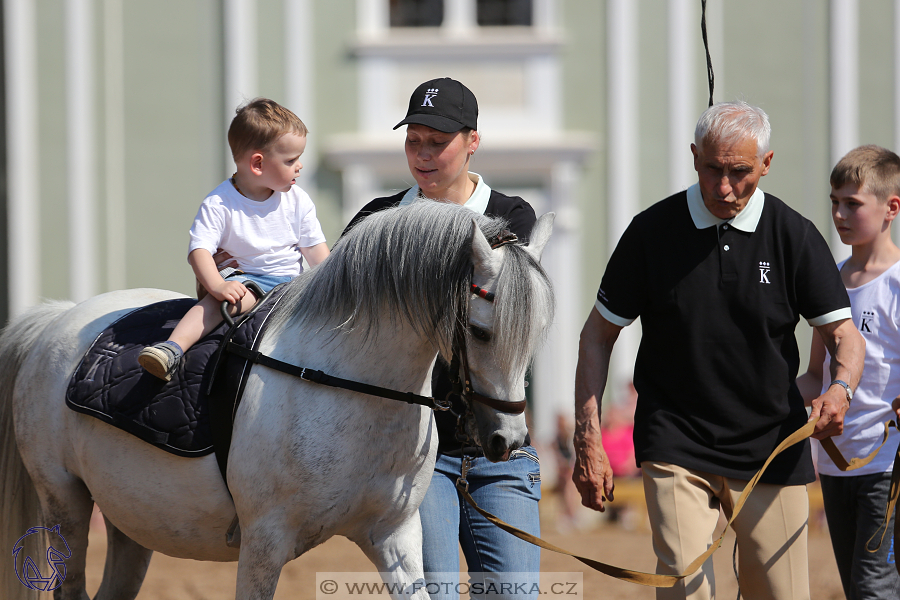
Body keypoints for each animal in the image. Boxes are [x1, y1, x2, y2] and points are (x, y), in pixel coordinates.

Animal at [1, 202, 556, 600]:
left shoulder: (395, 537)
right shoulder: (264, 544)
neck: (348, 388)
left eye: (537, 333)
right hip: (65, 502)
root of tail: (58, 317)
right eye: (481, 333)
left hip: (131, 518)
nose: (509, 439)